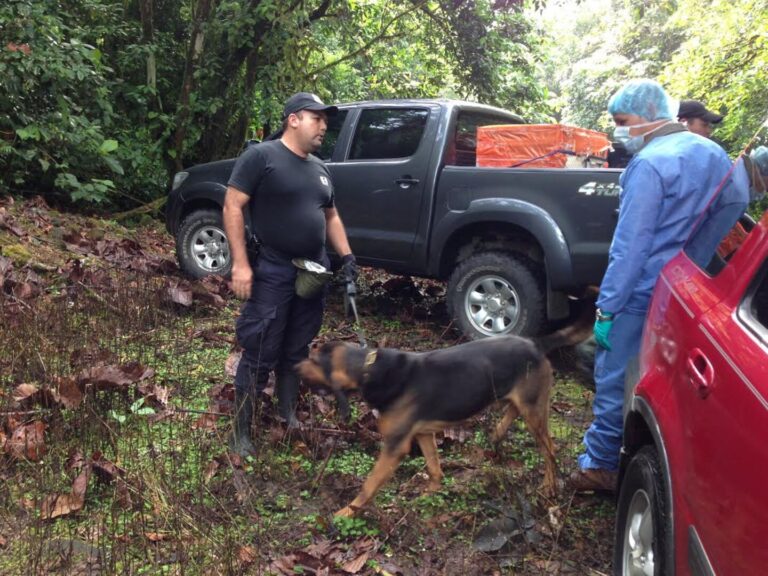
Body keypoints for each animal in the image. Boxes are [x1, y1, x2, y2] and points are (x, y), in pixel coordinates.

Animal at [296, 316, 592, 516]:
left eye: (313, 360)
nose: (295, 366)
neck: (370, 370)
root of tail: (536, 343)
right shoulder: (424, 434)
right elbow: (434, 468)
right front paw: (429, 494)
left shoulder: (395, 446)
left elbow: (369, 485)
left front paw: (347, 512)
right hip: (523, 401)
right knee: (514, 412)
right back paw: (496, 434)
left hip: (535, 411)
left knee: (549, 449)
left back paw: (549, 487)